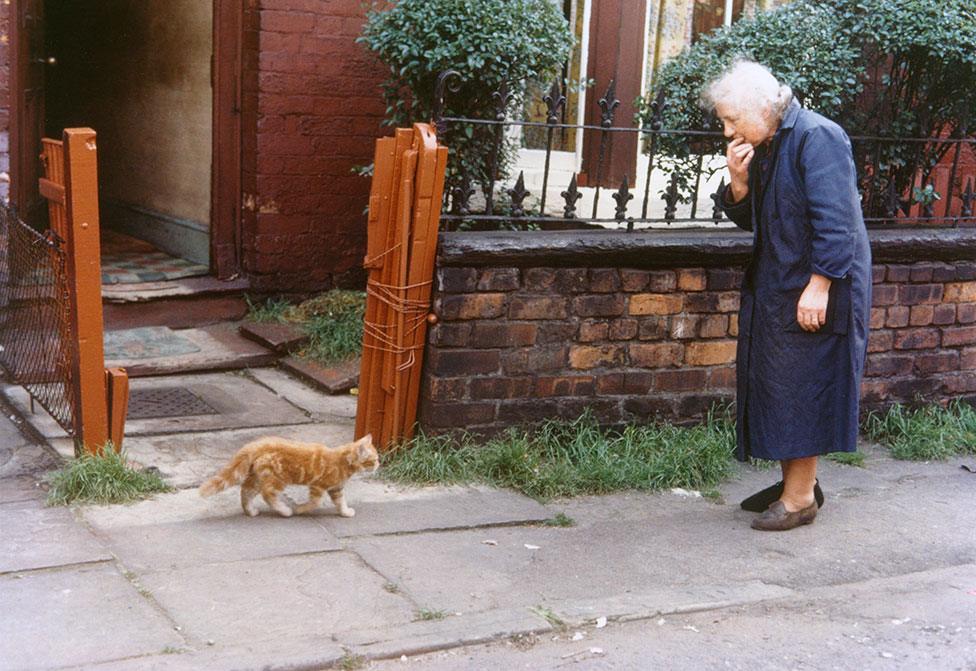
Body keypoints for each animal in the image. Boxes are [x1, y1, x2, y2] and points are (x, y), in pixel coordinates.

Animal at [198, 436, 378, 520]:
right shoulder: (318, 486)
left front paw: (345, 512)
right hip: (276, 479)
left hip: (257, 476)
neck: (342, 459)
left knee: (246, 491)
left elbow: (341, 502)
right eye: (374, 459)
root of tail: (256, 444)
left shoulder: (336, 488)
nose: (379, 464)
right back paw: (285, 511)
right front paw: (300, 509)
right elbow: (315, 502)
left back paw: (251, 511)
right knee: (268, 495)